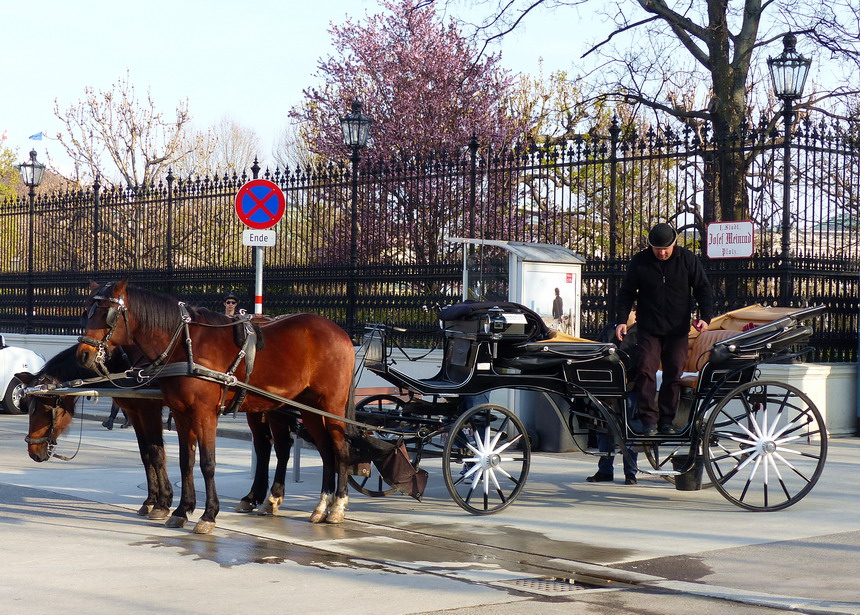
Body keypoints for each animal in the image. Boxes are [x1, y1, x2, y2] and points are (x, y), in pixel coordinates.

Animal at [20, 346, 174, 520]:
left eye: (46, 409)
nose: (33, 452)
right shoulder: (135, 412)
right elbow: (145, 455)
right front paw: (150, 500)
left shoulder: (149, 409)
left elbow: (156, 454)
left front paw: (162, 503)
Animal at [75, 280, 354, 536]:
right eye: (86, 310)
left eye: (106, 313)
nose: (83, 355)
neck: (184, 344)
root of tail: (337, 330)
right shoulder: (179, 413)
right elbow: (184, 460)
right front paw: (180, 510)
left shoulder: (197, 413)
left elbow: (203, 462)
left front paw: (206, 514)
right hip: (302, 408)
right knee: (314, 449)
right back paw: (312, 505)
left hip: (330, 405)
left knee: (339, 448)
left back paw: (336, 506)